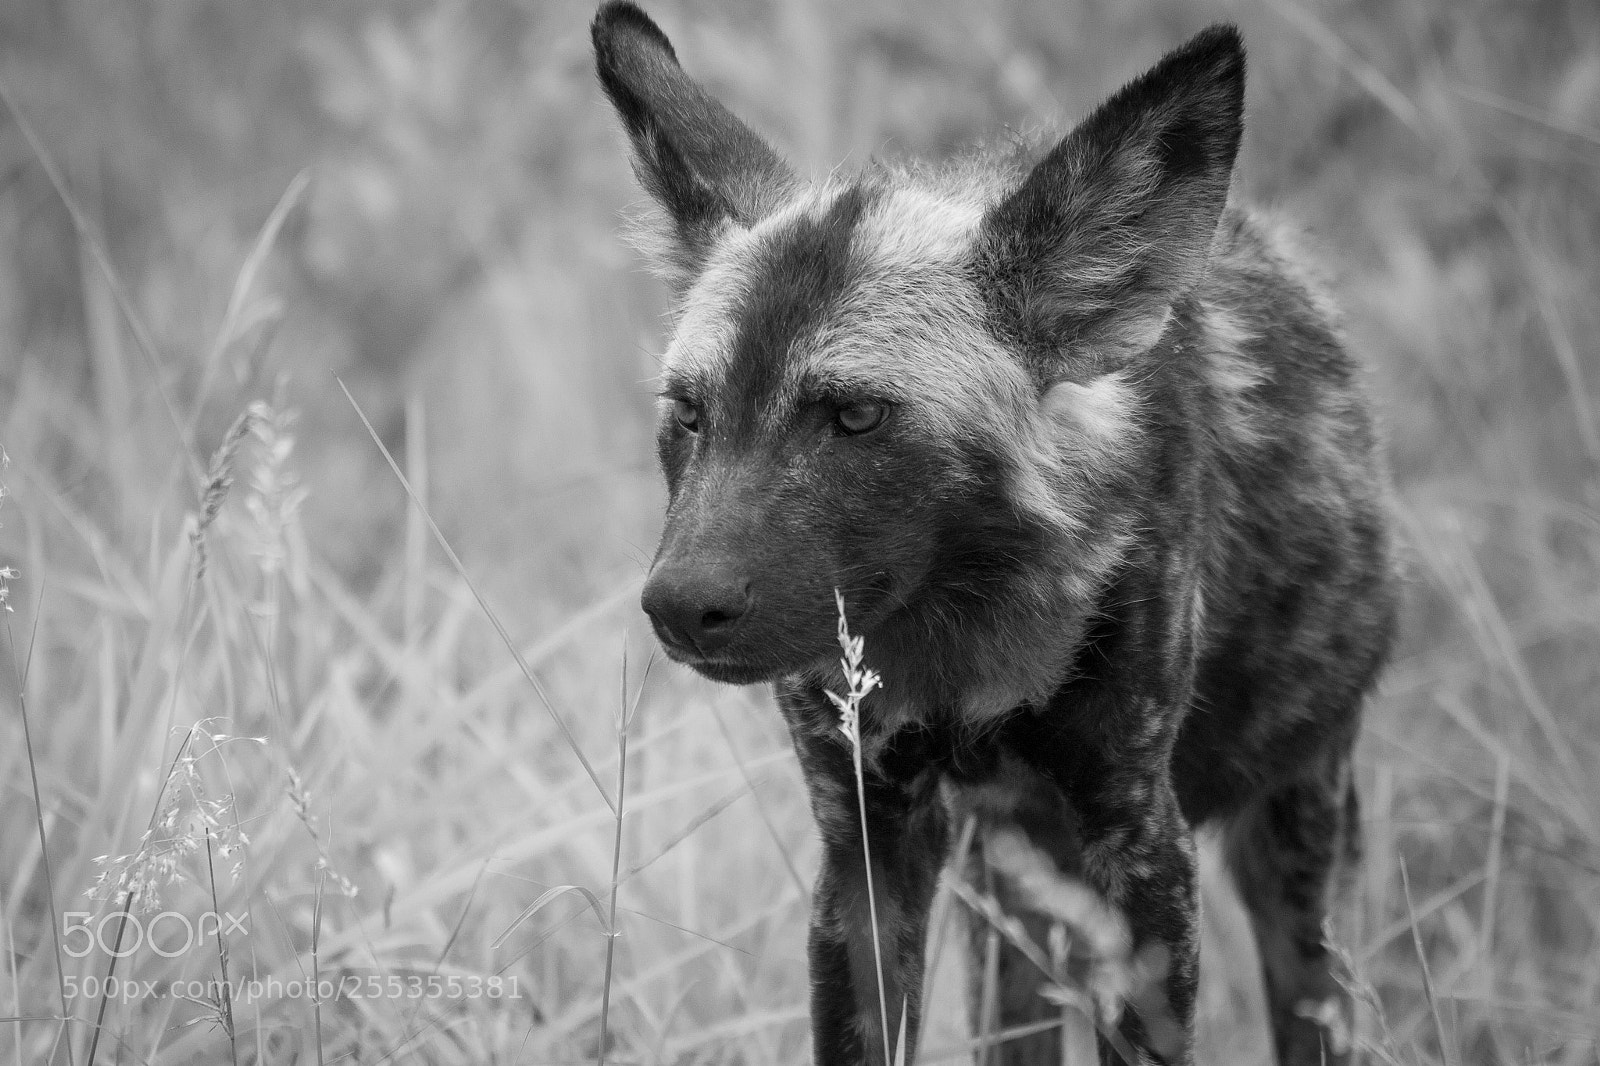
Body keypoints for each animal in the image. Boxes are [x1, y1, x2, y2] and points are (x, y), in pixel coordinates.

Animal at [593, 4, 1400, 1064]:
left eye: (856, 417)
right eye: (691, 416)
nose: (682, 605)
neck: (965, 633)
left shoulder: (1142, 855)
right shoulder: (868, 851)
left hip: (1292, 855)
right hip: (1011, 894)